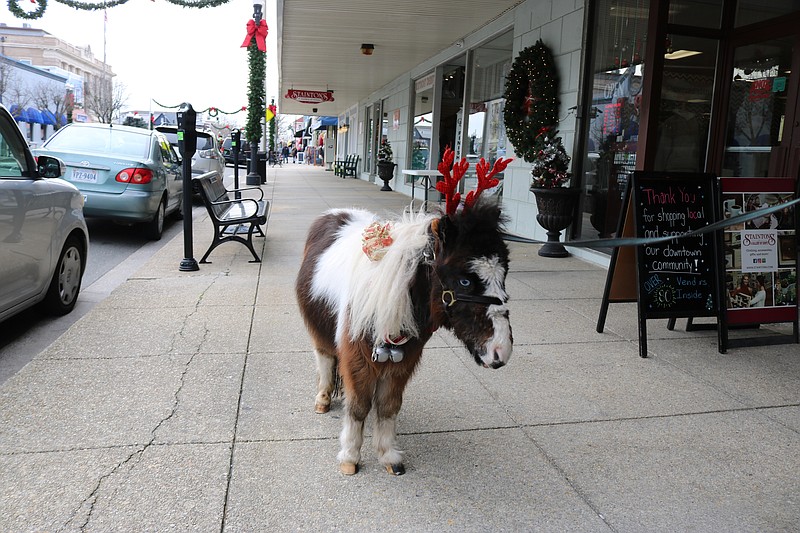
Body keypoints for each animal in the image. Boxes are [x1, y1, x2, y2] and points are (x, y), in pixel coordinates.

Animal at [294, 150, 512, 474]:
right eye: (464, 280)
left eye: (504, 274)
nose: (500, 351)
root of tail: (336, 213)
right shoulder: (357, 357)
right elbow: (359, 407)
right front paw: (350, 457)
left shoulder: (403, 361)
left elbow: (388, 407)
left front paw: (388, 456)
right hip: (319, 330)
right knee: (324, 359)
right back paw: (322, 399)